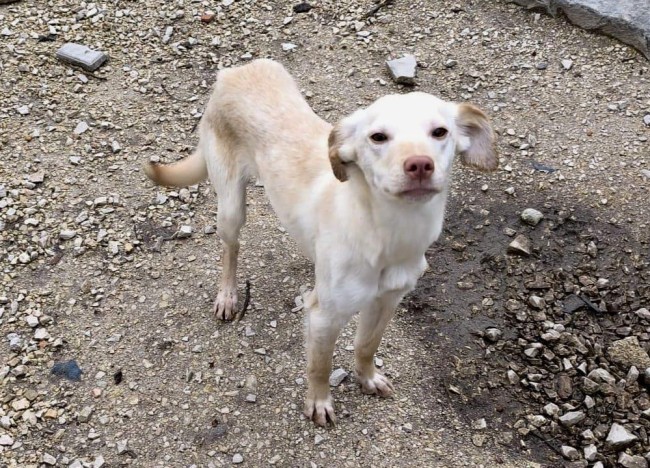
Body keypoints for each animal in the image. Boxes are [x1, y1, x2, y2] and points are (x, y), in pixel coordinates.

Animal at [144, 59, 497, 426]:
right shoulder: (324, 317)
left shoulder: (387, 301)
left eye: (440, 132)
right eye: (378, 137)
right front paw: (318, 402)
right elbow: (320, 365)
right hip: (230, 206)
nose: (419, 165)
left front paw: (367, 378)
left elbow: (367, 346)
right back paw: (228, 295)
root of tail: (234, 71)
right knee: (231, 249)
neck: (387, 233)